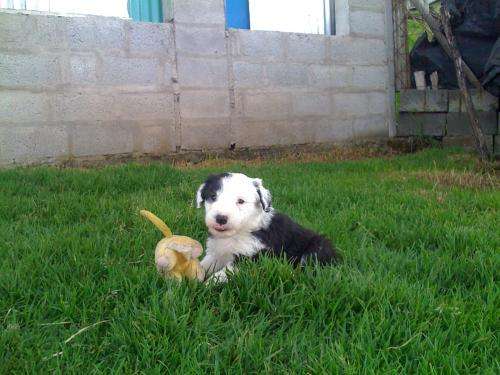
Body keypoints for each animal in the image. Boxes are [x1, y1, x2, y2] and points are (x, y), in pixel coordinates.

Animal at [195, 173, 340, 282]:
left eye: (241, 201)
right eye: (213, 196)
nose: (220, 218)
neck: (238, 233)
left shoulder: (251, 257)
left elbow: (221, 275)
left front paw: (204, 286)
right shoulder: (216, 253)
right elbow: (202, 265)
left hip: (317, 249)